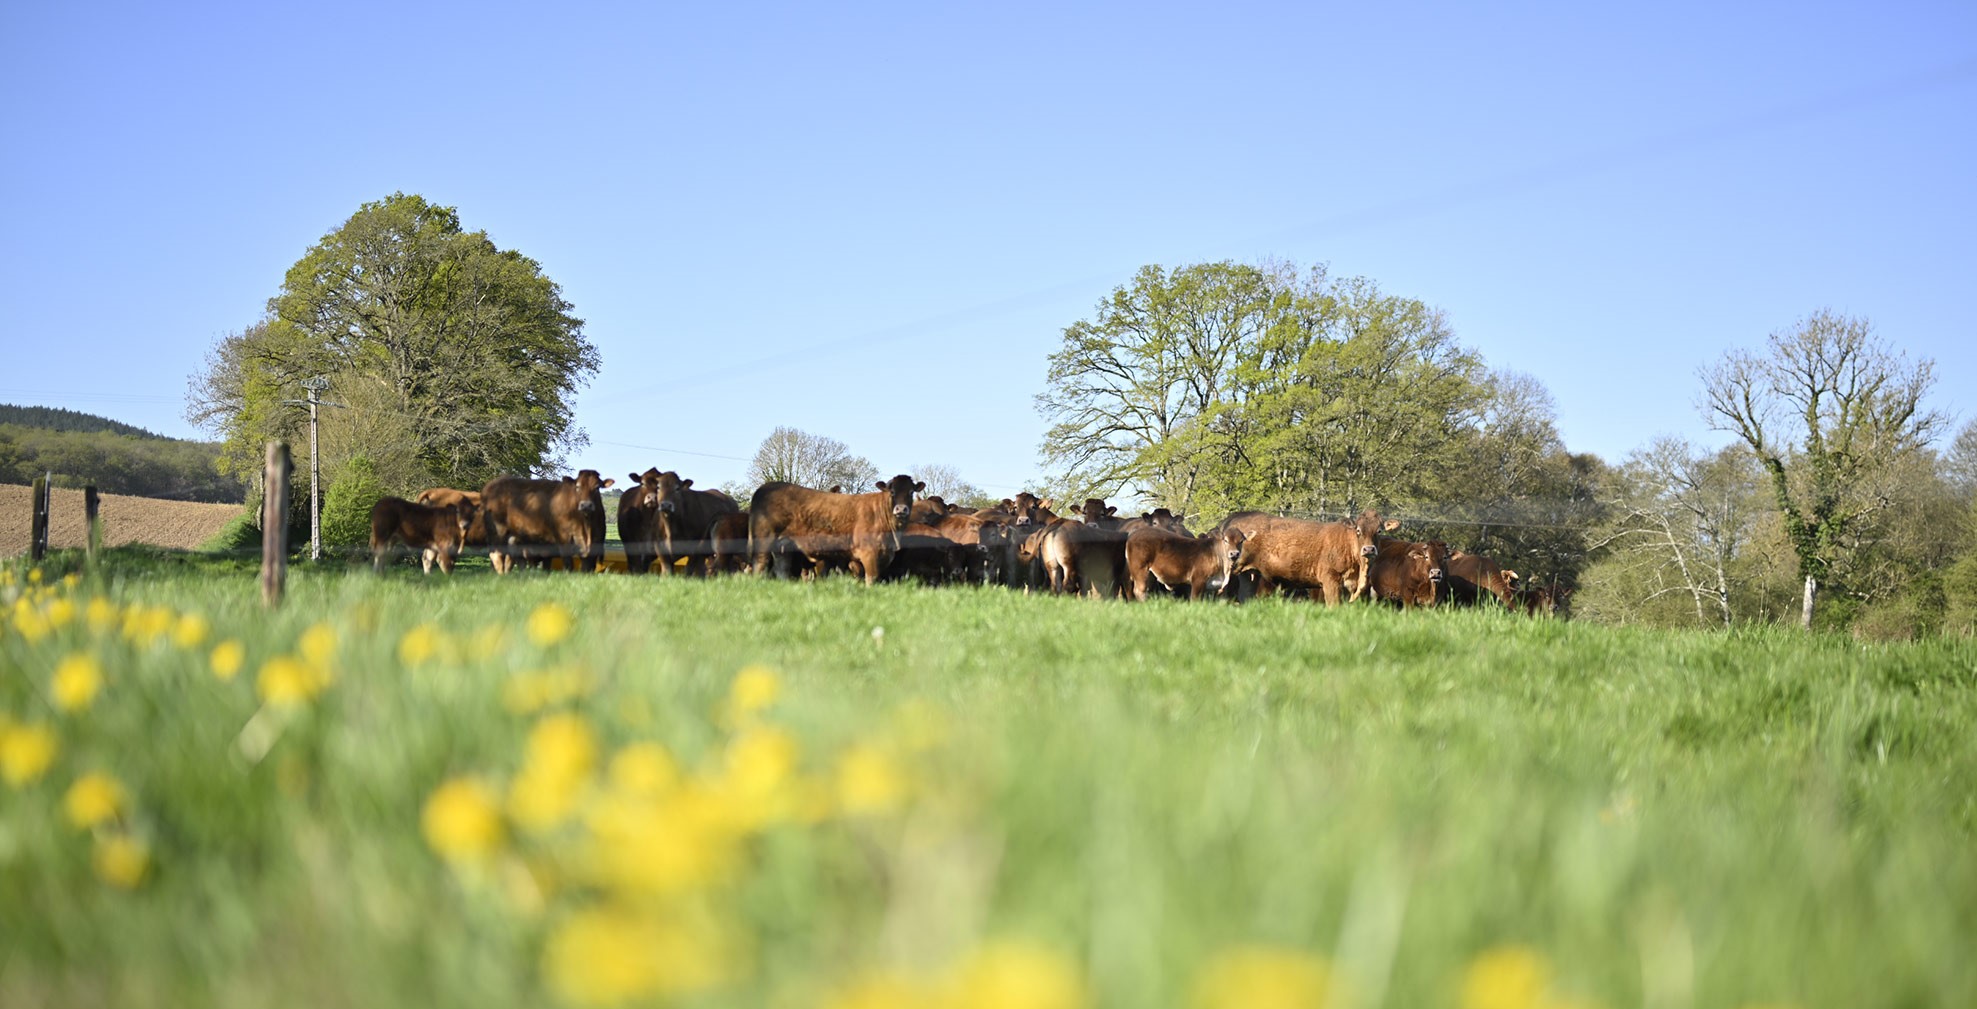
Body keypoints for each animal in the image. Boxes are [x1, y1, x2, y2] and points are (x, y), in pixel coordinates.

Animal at [479, 470, 616, 574]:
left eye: (597, 487)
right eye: (578, 487)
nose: (586, 505)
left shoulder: (597, 540)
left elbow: (588, 567)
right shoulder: (563, 538)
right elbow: (568, 563)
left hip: (513, 538)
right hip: (497, 532)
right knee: (496, 556)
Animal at [748, 475, 923, 585]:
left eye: (911, 492)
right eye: (892, 492)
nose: (901, 509)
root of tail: (765, 487)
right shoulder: (869, 554)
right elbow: (871, 580)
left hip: (782, 546)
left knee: (781, 569)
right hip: (764, 540)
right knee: (760, 565)